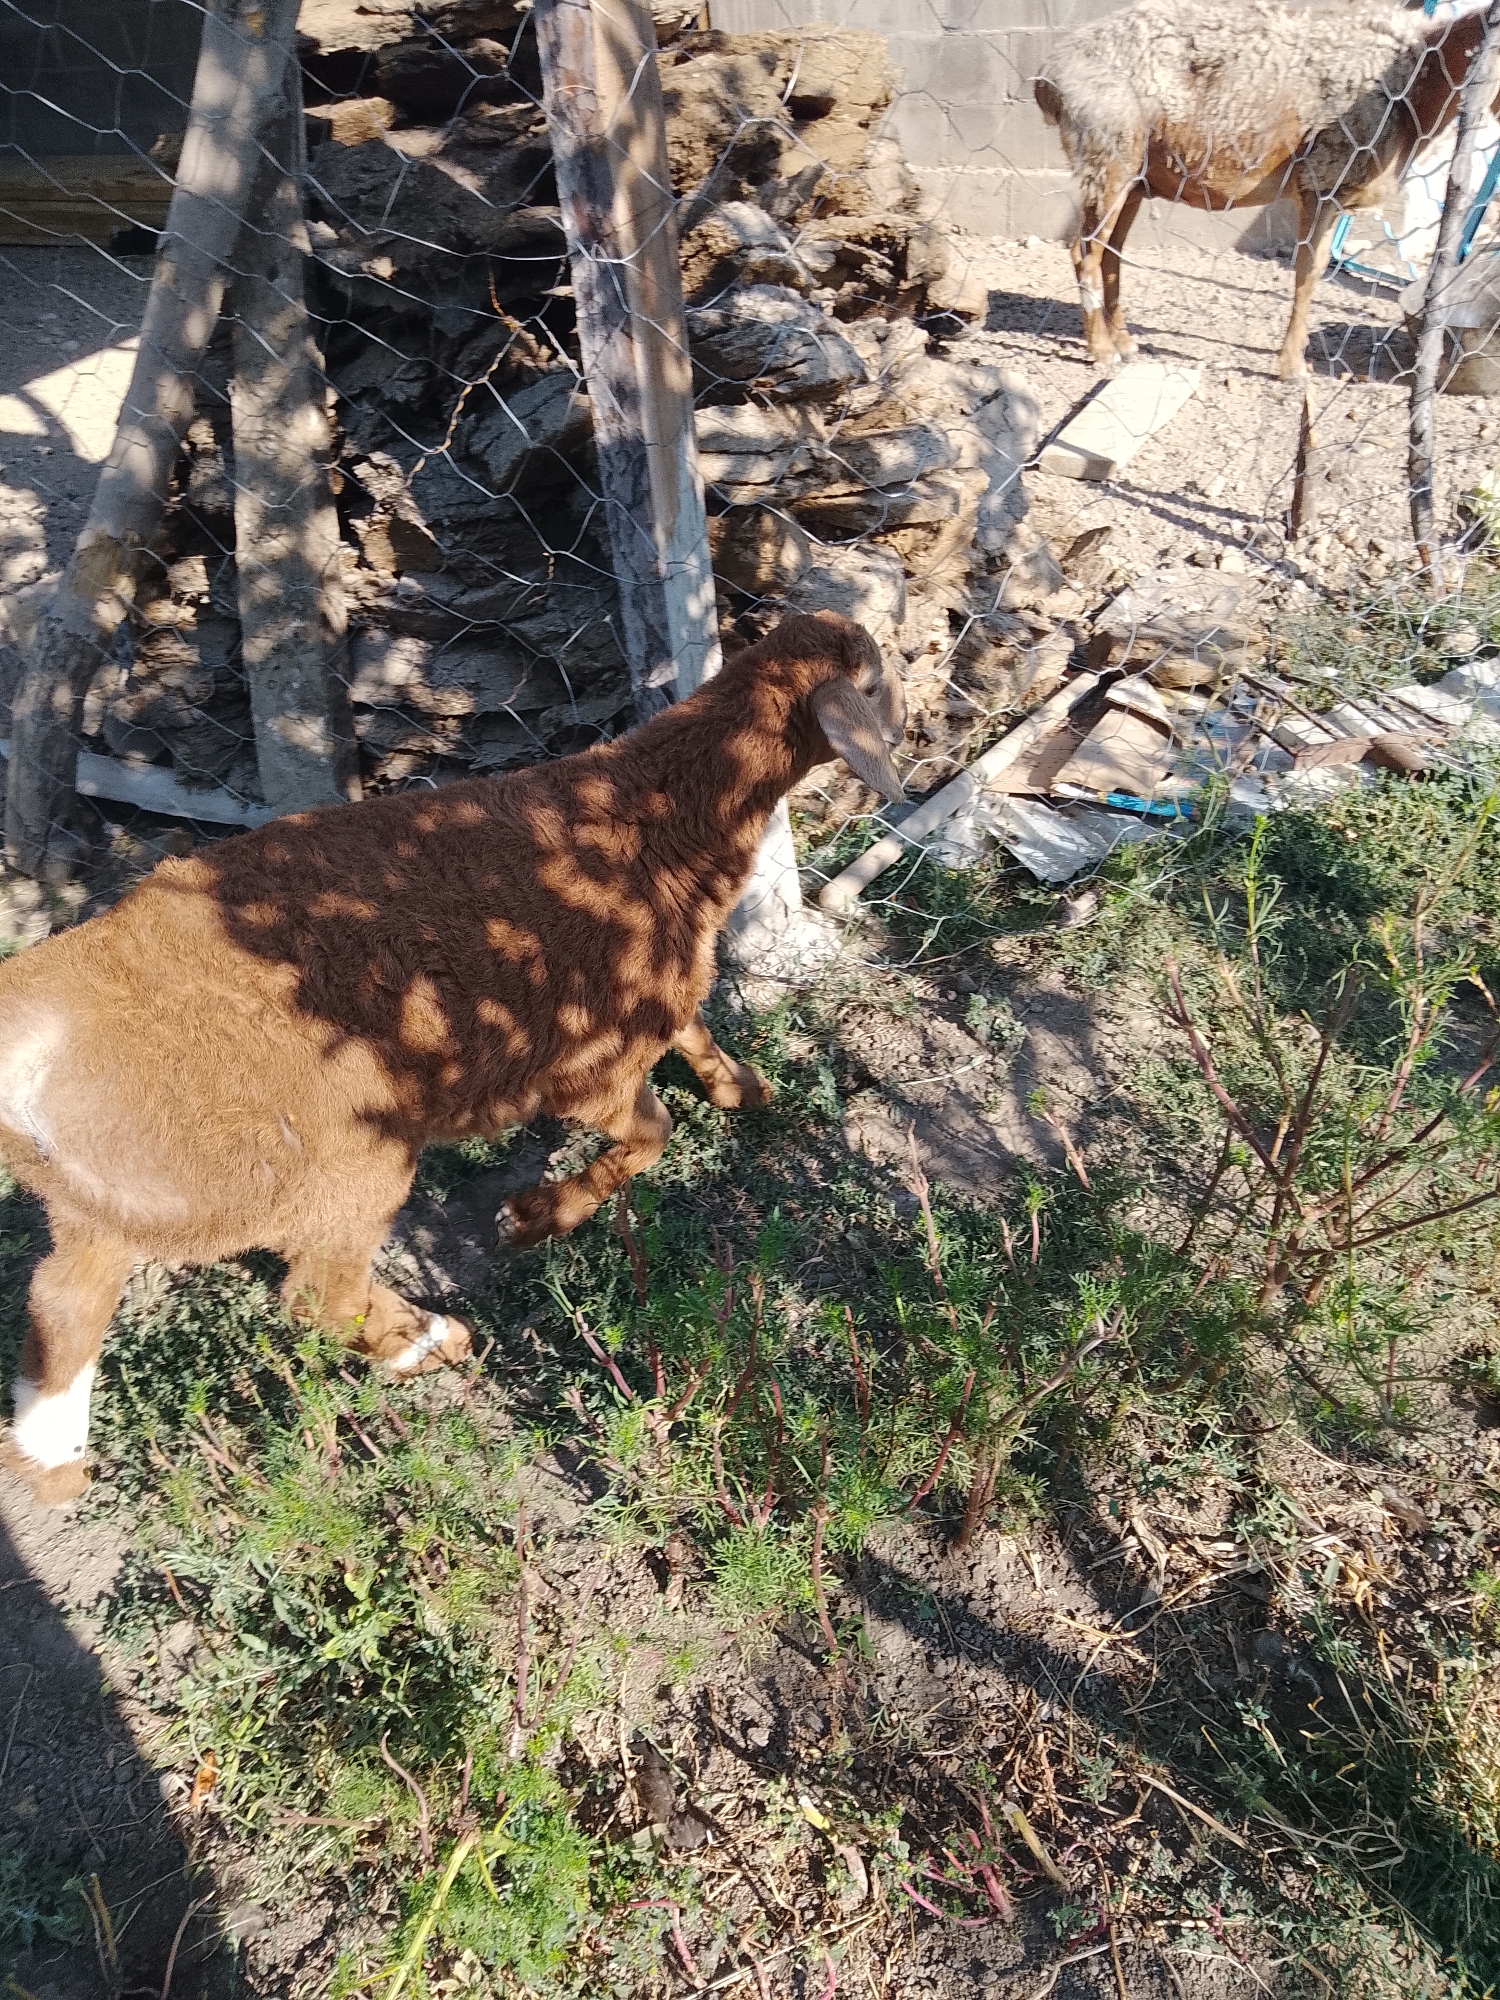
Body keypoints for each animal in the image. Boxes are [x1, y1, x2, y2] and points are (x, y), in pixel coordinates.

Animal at [0, 610, 905, 1506]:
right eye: (874, 682)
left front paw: (744, 1088)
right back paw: (432, 1342)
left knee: (62, 1305)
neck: (647, 819)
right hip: (334, 1158)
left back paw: (55, 1467)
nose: (902, 745)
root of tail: (36, 1027)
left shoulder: (651, 1000)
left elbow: (695, 1033)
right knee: (315, 1295)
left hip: (114, 1197)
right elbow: (652, 1136)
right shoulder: (590, 1063)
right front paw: (538, 1217)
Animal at [1035, 0, 1499, 379]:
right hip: (1107, 154)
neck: (1421, 75)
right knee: (1084, 252)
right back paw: (1102, 351)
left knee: (1110, 252)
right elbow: (1308, 274)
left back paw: (1125, 341)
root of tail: (1049, 77)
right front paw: (1293, 366)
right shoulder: (1323, 178)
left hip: (1134, 173)